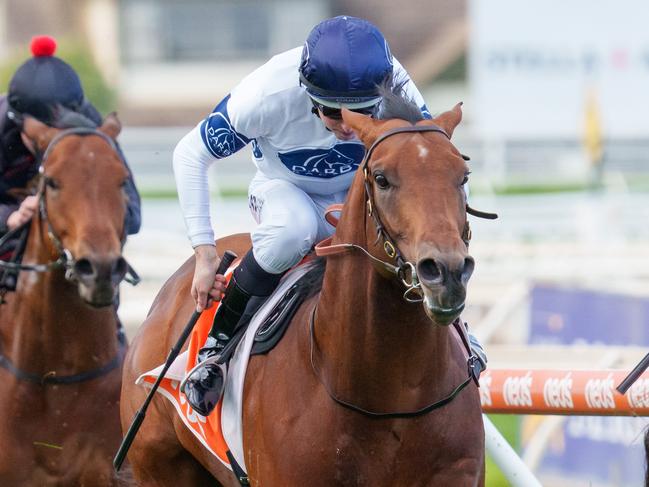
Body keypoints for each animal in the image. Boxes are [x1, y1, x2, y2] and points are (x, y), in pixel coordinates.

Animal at [123, 101, 486, 486]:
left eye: (463, 176)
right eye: (382, 178)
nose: (446, 272)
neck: (390, 396)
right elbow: (197, 148)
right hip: (160, 466)